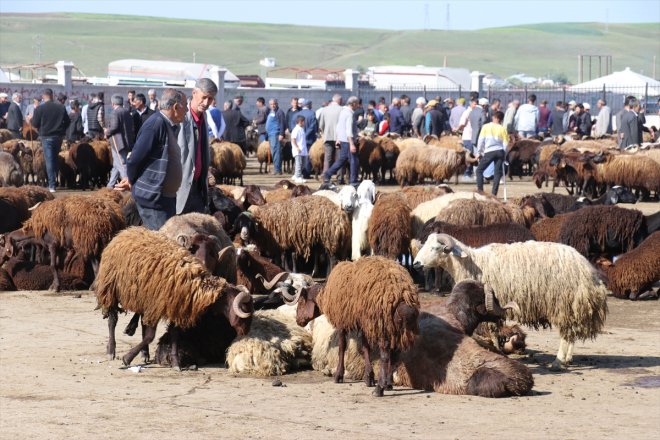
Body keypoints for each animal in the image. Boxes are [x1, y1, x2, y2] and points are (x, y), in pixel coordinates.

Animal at [94, 229, 254, 370]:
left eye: (213, 253)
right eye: (244, 309)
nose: (245, 332)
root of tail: (125, 231)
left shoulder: (176, 307)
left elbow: (174, 335)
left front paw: (176, 363)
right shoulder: (156, 305)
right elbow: (150, 336)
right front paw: (127, 358)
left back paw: (144, 353)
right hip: (111, 288)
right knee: (112, 320)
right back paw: (111, 350)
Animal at [294, 254, 418, 396]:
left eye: (301, 302)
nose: (298, 320)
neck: (325, 297)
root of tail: (402, 293)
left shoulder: (342, 320)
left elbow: (342, 347)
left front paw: (339, 375)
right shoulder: (363, 322)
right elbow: (365, 347)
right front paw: (369, 377)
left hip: (381, 324)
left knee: (385, 355)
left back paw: (379, 388)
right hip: (395, 327)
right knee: (395, 354)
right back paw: (388, 383)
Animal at [416, 232, 612, 370]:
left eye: (435, 248)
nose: (416, 264)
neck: (471, 263)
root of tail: (588, 271)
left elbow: (493, 329)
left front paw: (497, 350)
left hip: (562, 303)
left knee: (566, 334)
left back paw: (558, 361)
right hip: (572, 306)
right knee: (571, 333)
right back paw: (568, 359)